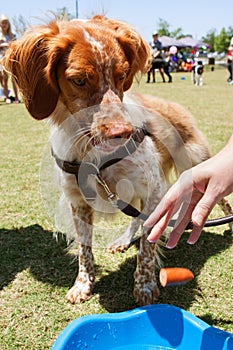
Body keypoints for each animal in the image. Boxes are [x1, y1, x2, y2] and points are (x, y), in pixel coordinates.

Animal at [4, 16, 233, 304]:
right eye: (79, 80)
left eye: (122, 75)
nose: (122, 133)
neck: (93, 153)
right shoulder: (78, 201)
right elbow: (85, 248)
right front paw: (83, 284)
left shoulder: (154, 189)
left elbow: (148, 244)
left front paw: (145, 286)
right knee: (136, 217)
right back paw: (123, 240)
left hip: (195, 163)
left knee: (219, 197)